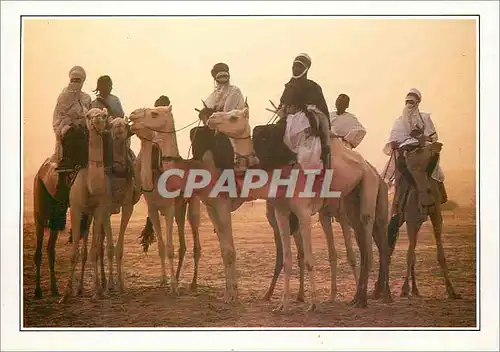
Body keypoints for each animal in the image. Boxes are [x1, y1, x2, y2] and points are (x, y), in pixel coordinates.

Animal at [59, 108, 114, 302]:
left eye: (104, 115)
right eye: (89, 115)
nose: (98, 120)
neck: (90, 186)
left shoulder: (99, 209)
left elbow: (94, 251)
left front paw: (97, 291)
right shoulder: (76, 209)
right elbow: (74, 253)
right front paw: (65, 294)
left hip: (97, 212)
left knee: (95, 247)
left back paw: (99, 286)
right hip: (83, 212)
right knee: (81, 246)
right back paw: (78, 288)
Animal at [386, 142, 460, 298]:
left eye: (429, 160)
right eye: (408, 165)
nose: (427, 204)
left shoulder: (436, 215)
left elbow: (440, 253)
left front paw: (451, 290)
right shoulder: (411, 218)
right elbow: (409, 253)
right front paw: (403, 289)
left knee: (410, 248)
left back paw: (415, 289)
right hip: (401, 215)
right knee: (394, 244)